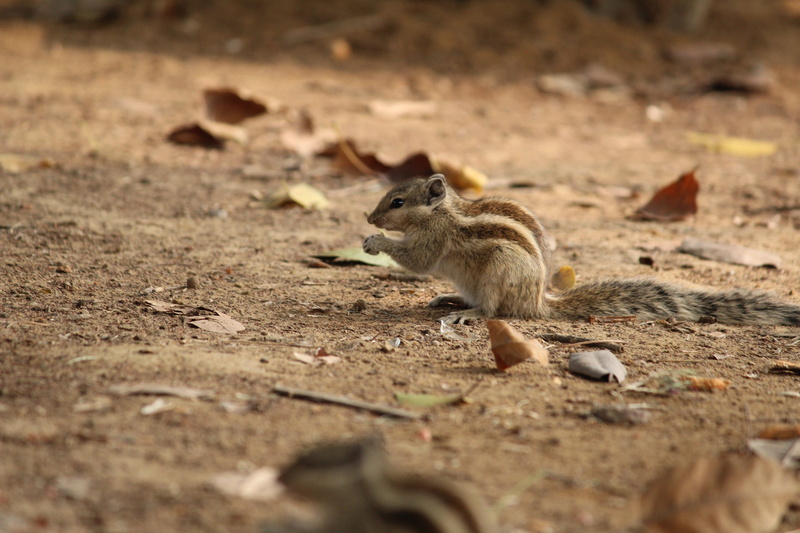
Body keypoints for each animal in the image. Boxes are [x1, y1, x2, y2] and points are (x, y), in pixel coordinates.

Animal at [363, 174, 800, 326]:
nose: (369, 217)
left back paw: (467, 315)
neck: (442, 210)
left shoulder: (434, 239)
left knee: (493, 311)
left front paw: (376, 241)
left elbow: (418, 260)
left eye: (397, 202)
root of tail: (539, 302)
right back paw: (450, 299)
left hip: (499, 272)